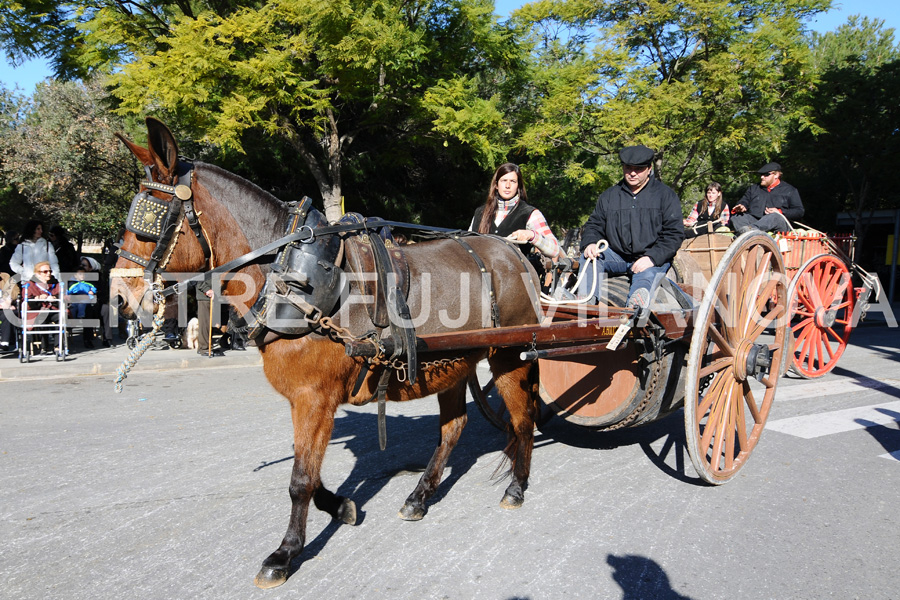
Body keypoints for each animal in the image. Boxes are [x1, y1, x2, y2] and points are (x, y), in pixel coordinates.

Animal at [109, 118, 536, 592]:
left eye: (149, 221)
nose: (120, 298)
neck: (288, 277)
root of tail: (513, 251)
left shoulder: (315, 396)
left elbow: (300, 479)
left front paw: (285, 553)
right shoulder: (305, 399)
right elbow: (310, 471)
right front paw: (341, 506)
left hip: (509, 356)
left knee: (522, 420)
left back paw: (516, 488)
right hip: (457, 364)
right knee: (453, 428)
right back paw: (420, 496)